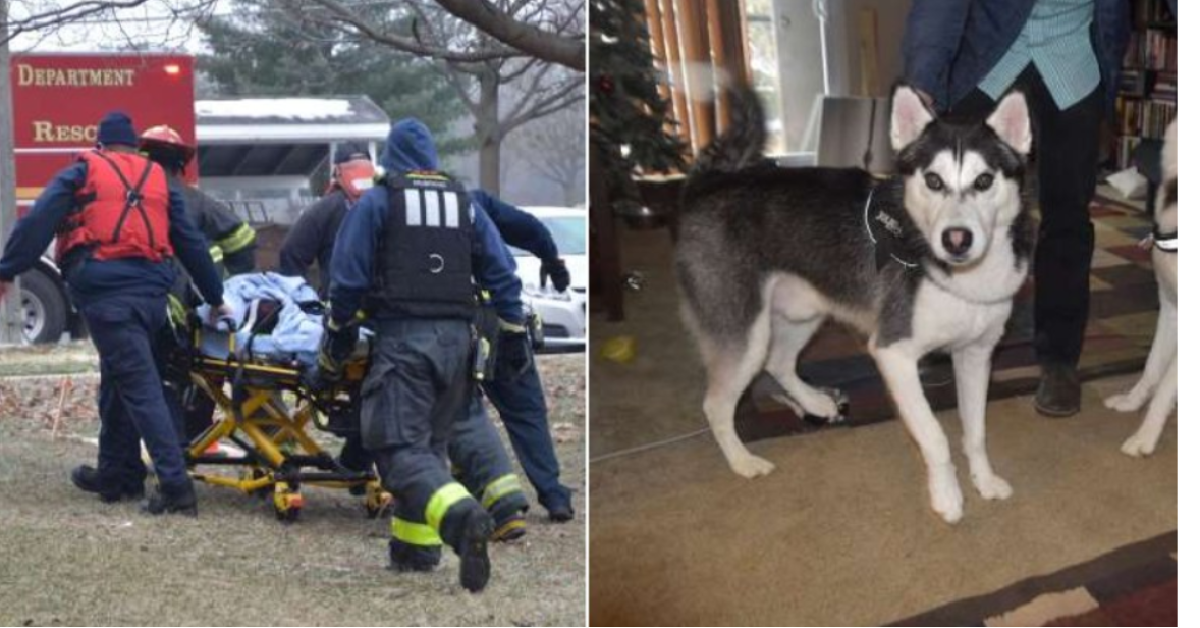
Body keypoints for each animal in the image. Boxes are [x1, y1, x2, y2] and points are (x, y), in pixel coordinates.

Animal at [676, 85, 1032, 523]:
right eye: (933, 180)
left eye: (984, 181)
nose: (956, 239)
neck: (962, 277)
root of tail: (707, 184)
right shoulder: (893, 353)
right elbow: (934, 435)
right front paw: (947, 495)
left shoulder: (976, 355)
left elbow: (976, 431)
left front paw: (984, 481)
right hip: (744, 333)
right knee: (717, 403)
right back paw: (742, 460)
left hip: (802, 313)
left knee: (778, 361)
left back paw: (813, 400)